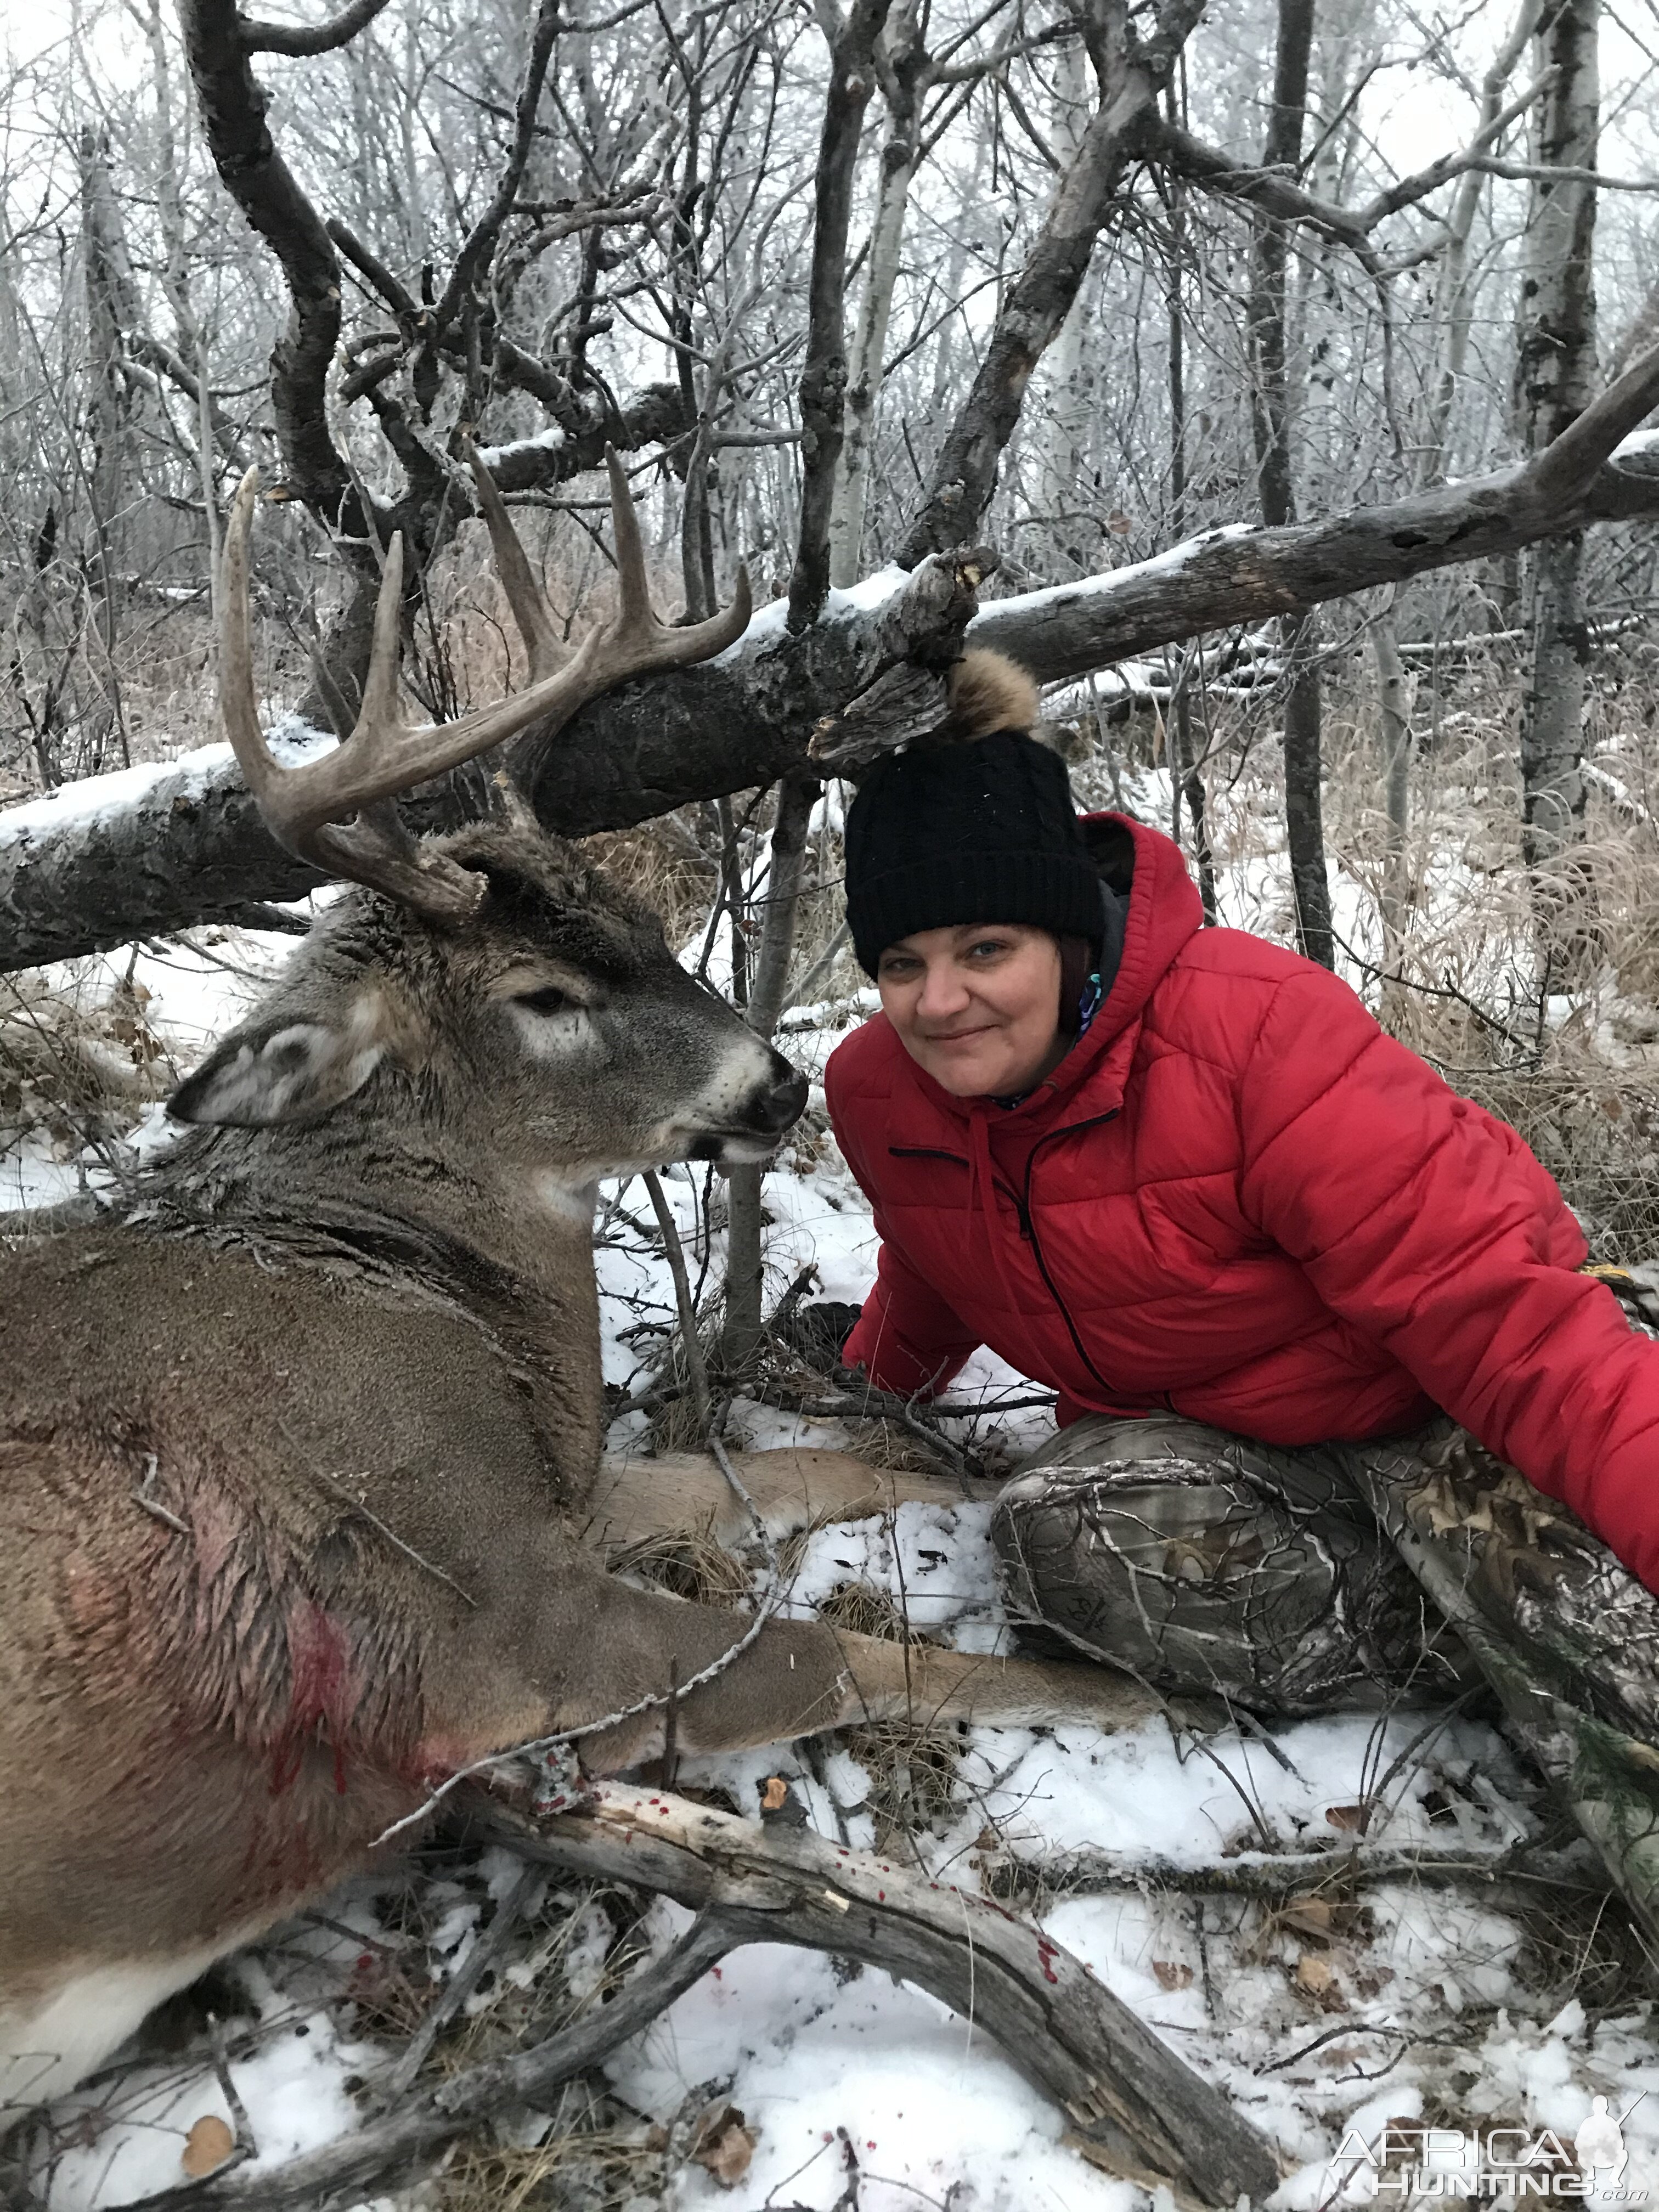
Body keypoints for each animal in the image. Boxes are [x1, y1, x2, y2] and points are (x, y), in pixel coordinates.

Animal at [0, 449, 1159, 2123]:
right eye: (541, 997)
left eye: (643, 923)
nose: (775, 1083)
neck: (427, 1290)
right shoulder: (481, 1612)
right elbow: (818, 1647)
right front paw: (1152, 1704)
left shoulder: (553, 1494)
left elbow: (765, 1468)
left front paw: (935, 1466)